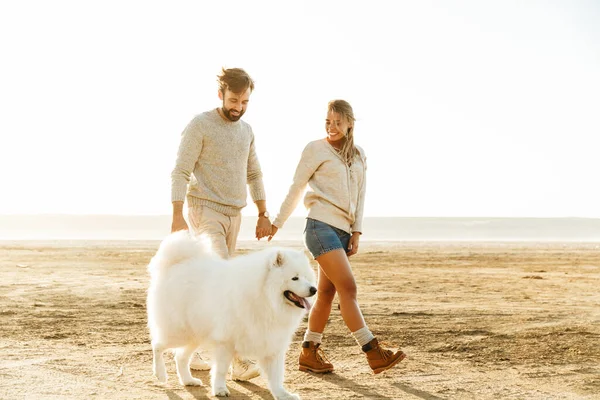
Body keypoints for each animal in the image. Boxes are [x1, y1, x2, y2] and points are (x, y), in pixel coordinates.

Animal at [147, 231, 316, 400]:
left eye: (307, 277)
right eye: (295, 278)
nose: (314, 289)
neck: (265, 298)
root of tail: (175, 265)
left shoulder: (272, 344)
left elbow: (276, 376)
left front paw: (283, 395)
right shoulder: (225, 342)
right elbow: (221, 369)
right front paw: (220, 389)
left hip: (194, 335)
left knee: (180, 357)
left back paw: (188, 380)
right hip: (179, 332)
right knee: (157, 345)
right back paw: (160, 374)